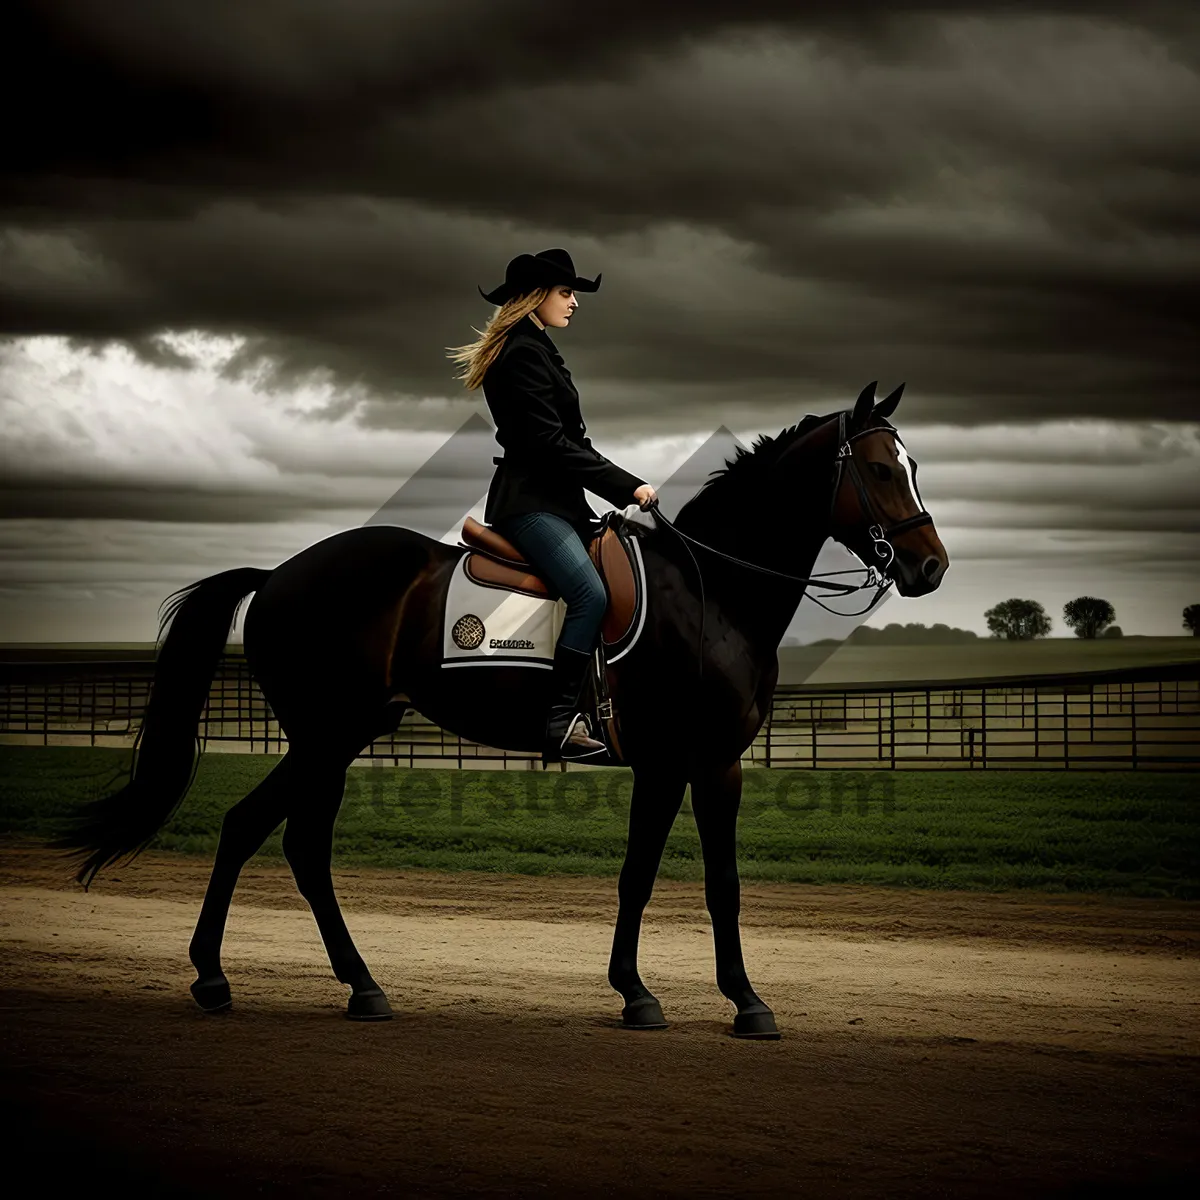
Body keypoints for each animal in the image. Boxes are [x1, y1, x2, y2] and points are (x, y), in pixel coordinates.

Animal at [58, 379, 945, 1036]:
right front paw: (747, 1004)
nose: (931, 567)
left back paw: (298, 982)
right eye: (878, 469)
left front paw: (635, 993)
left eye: (913, 465)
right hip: (325, 738)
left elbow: (638, 876)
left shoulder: (665, 766)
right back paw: (279, 981)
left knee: (264, 834)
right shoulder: (708, 761)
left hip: (334, 739)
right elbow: (719, 882)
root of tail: (277, 575)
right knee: (284, 839)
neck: (714, 592)